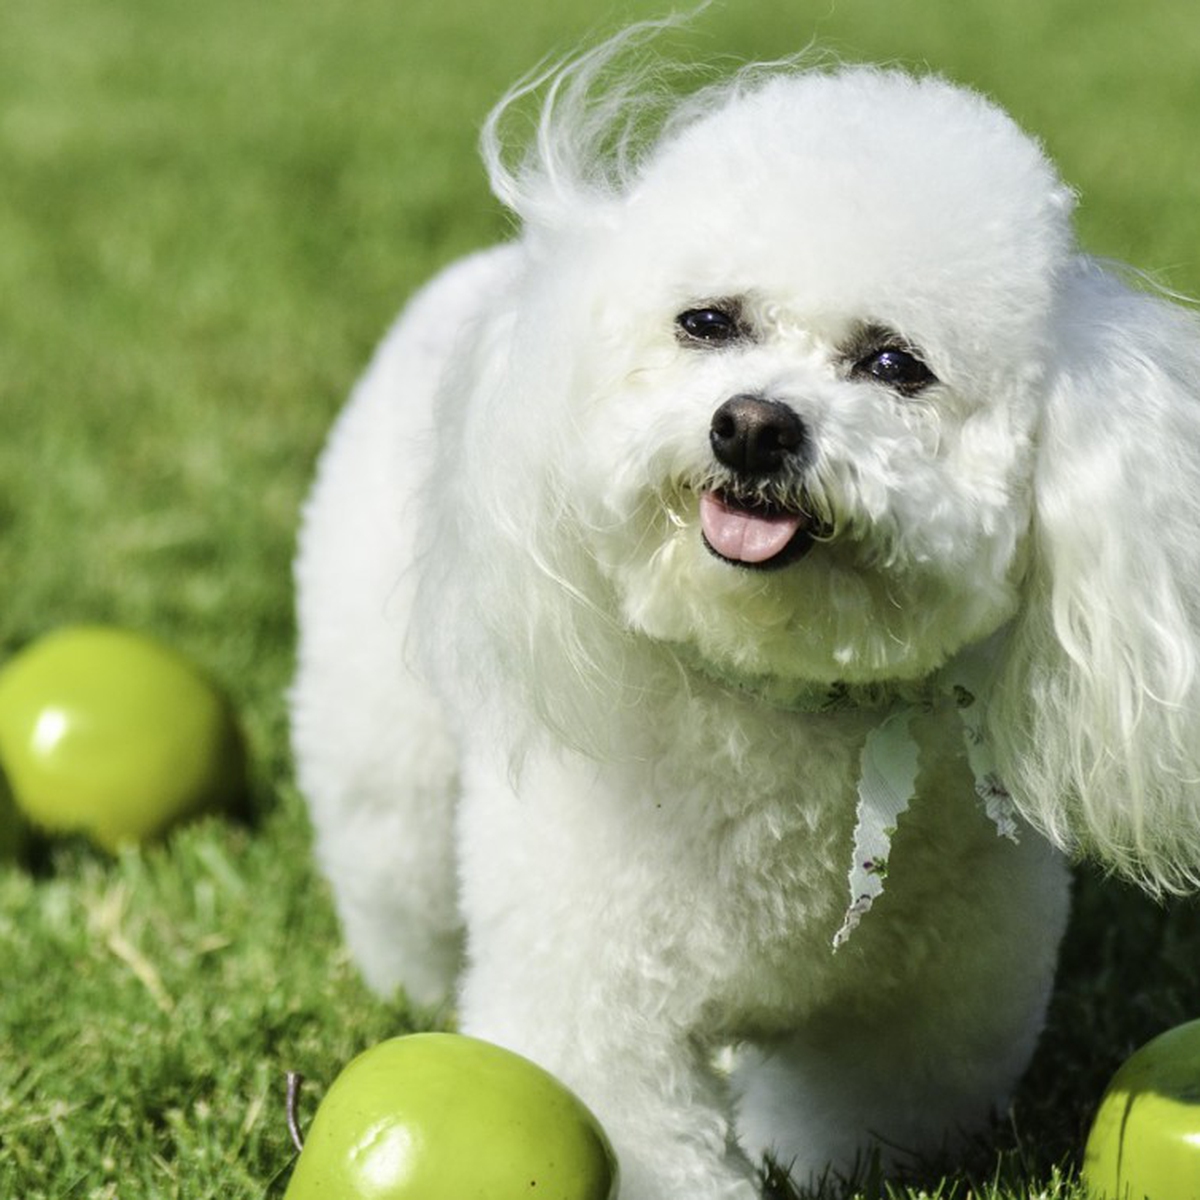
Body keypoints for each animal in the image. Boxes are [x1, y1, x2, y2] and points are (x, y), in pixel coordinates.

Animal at [288, 23, 1200, 1195]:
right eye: (708, 322)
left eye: (895, 364)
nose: (755, 426)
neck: (782, 701)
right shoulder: (599, 1010)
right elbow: (646, 1134)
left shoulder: (922, 1023)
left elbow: (861, 1119)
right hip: (386, 749)